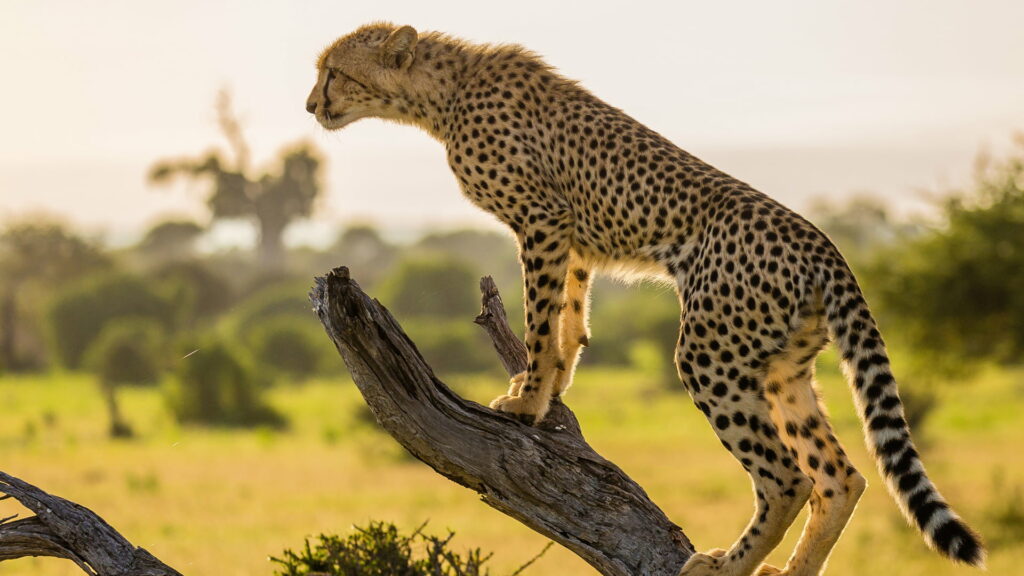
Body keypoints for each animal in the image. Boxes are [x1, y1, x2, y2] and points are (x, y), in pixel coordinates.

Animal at [306, 22, 985, 576]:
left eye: (334, 71)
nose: (312, 105)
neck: (441, 93)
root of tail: (826, 247)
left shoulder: (543, 220)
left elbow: (540, 319)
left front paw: (526, 402)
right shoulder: (572, 238)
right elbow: (569, 322)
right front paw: (549, 388)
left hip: (711, 357)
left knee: (788, 477)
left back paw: (726, 565)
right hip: (783, 368)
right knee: (841, 477)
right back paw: (791, 570)